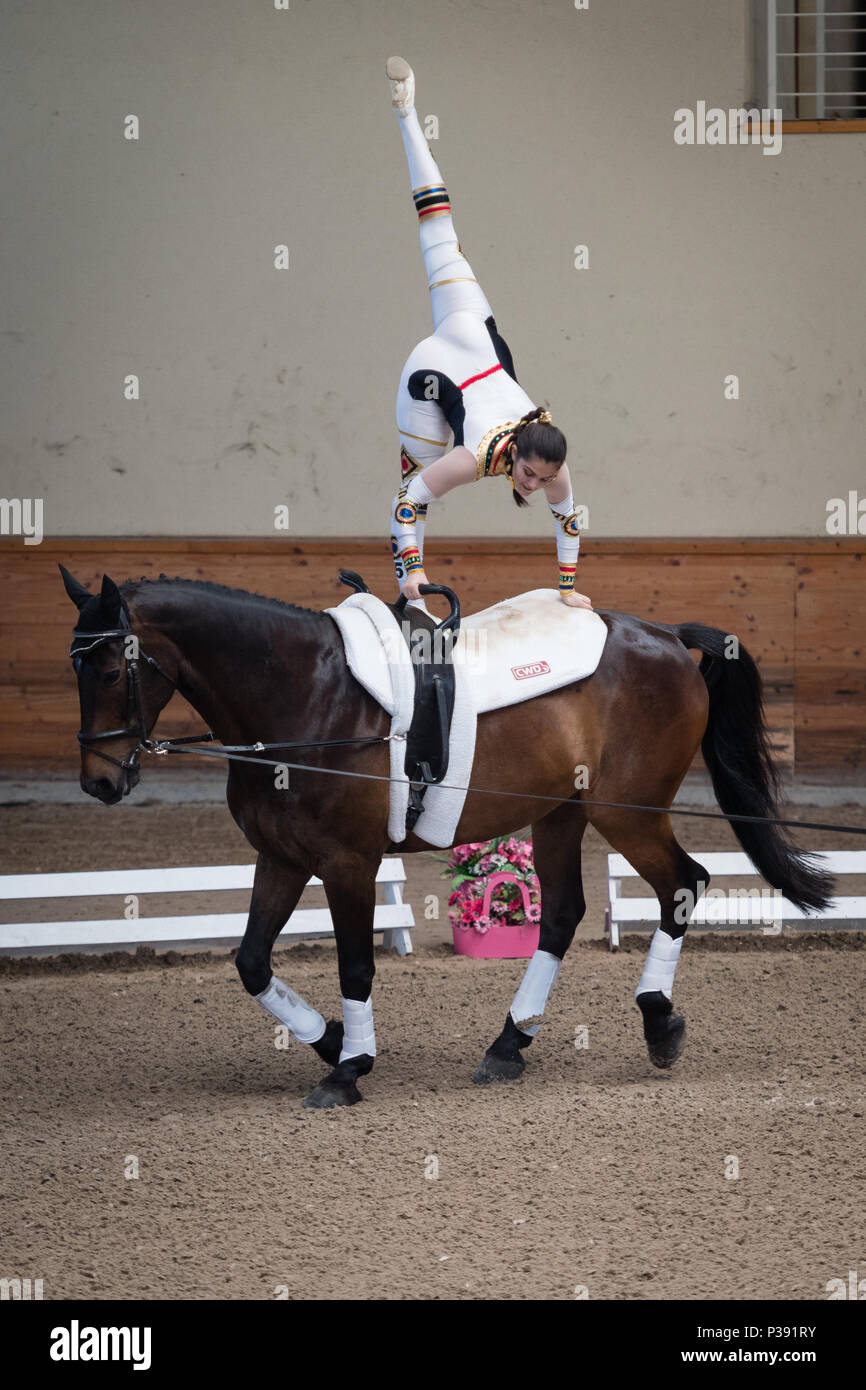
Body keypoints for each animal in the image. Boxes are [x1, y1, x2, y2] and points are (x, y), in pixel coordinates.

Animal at [61, 564, 834, 1106]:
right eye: (76, 669)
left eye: (111, 668)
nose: (98, 782)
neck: (304, 697)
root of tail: (668, 636)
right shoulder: (280, 857)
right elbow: (251, 961)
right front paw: (332, 1041)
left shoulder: (347, 862)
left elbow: (355, 965)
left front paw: (347, 1070)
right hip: (561, 813)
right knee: (562, 915)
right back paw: (509, 1045)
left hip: (628, 811)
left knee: (682, 885)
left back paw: (658, 1024)